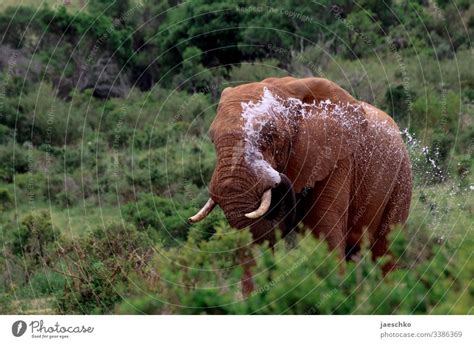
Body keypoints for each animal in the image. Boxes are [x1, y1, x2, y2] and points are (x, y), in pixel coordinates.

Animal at [188, 77, 412, 290]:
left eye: (270, 136)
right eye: (212, 140)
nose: (277, 178)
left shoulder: (336, 159)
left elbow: (324, 238)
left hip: (401, 178)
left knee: (386, 250)